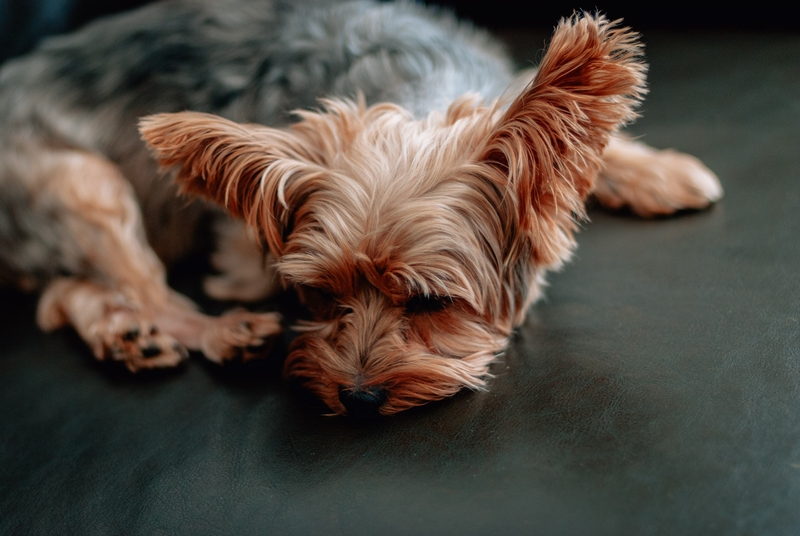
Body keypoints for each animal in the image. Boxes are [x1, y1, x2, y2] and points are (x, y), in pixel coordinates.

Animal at [0, 0, 720, 414]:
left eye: (432, 302)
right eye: (321, 296)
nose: (360, 397)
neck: (411, 94)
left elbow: (580, 139)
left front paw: (661, 172)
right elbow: (240, 261)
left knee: (64, 294)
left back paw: (122, 336)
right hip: (78, 180)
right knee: (145, 291)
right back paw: (217, 331)